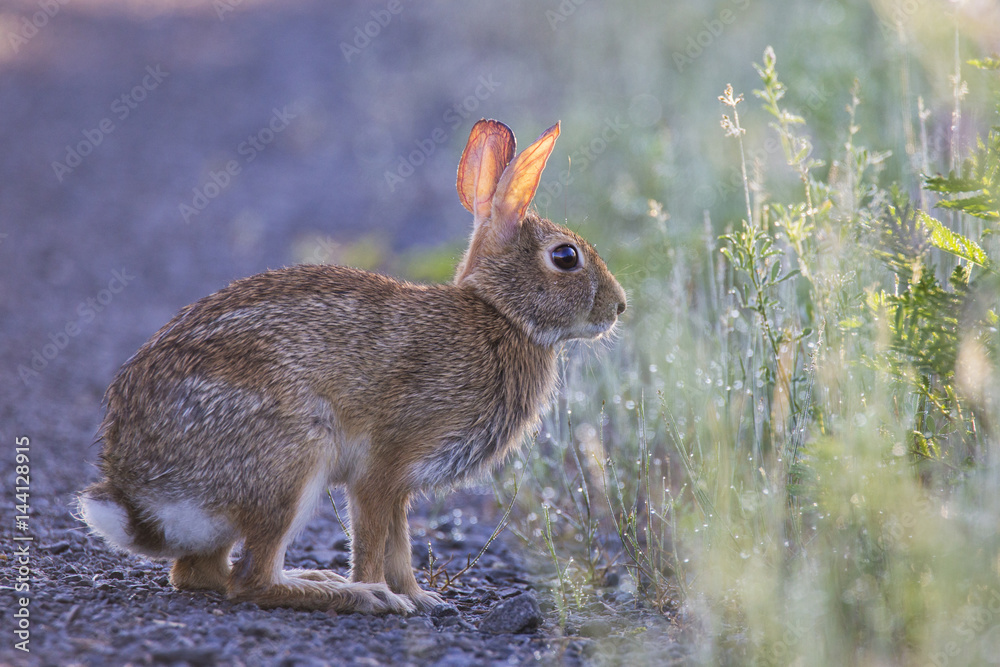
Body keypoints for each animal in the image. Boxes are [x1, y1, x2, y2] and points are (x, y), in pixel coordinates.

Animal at [77, 119, 626, 615]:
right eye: (565, 257)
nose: (619, 307)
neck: (499, 314)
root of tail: (137, 489)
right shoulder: (381, 468)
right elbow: (373, 542)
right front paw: (387, 595)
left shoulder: (399, 485)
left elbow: (399, 546)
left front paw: (421, 598)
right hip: (292, 457)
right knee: (249, 581)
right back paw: (350, 595)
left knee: (201, 572)